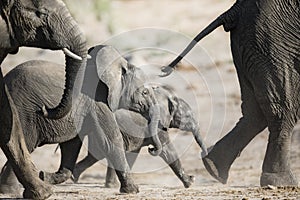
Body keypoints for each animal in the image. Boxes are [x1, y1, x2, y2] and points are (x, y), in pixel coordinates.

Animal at [72, 83, 207, 188]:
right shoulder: (157, 124)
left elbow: (134, 153)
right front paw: (191, 181)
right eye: (188, 116)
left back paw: (76, 177)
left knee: (96, 154)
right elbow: (168, 150)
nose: (151, 148)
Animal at [162, 0, 300, 187]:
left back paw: (214, 168)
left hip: (253, 44)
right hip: (272, 42)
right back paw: (282, 183)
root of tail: (235, 9)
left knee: (255, 112)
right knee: (283, 107)